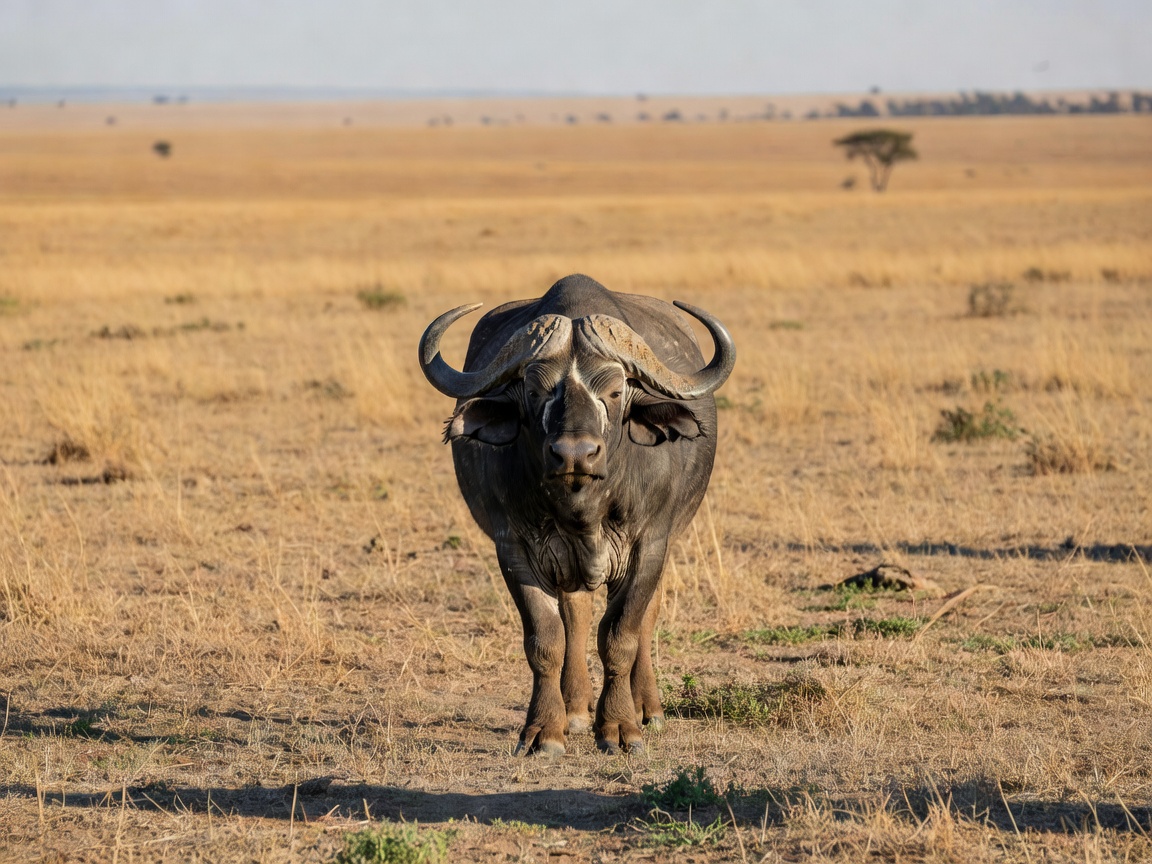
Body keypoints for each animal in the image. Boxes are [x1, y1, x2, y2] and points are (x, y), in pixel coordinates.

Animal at [418, 274, 735, 755]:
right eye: (535, 391)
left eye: (615, 391)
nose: (575, 454)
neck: (583, 509)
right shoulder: (514, 549)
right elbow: (545, 639)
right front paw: (544, 731)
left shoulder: (649, 547)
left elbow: (621, 634)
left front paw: (621, 727)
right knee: (577, 615)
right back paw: (575, 707)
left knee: (644, 618)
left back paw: (647, 708)